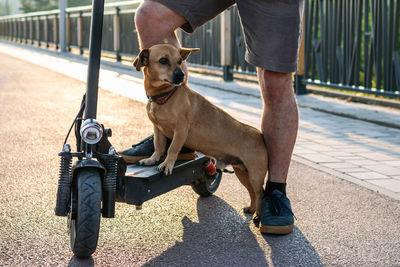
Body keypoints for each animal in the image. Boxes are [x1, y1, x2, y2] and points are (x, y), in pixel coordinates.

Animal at [134, 44, 268, 218]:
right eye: (163, 60)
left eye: (179, 61)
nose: (181, 74)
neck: (165, 97)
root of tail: (260, 135)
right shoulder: (158, 129)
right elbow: (158, 147)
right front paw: (152, 159)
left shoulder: (181, 130)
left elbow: (172, 149)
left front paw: (167, 164)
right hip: (242, 172)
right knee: (252, 192)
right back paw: (252, 209)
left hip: (255, 175)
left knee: (260, 193)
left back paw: (259, 215)